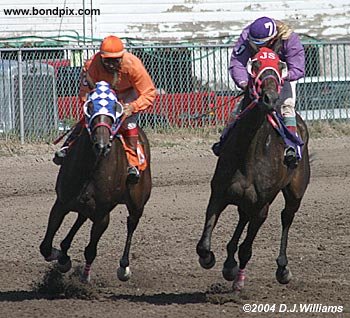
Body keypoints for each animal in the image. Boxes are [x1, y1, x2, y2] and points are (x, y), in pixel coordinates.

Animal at [40, 82, 152, 284]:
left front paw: (85, 276)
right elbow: (45, 246)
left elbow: (91, 250)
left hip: (137, 203)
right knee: (81, 218)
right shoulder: (61, 203)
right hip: (82, 203)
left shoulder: (102, 215)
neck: (91, 166)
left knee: (131, 223)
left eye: (115, 108)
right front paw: (61, 257)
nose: (101, 144)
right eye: (89, 106)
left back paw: (124, 267)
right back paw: (64, 250)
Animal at [196, 46, 310, 290]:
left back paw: (282, 268)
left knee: (286, 216)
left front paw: (237, 277)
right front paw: (212, 260)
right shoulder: (218, 194)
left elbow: (246, 249)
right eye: (255, 64)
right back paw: (229, 260)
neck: (248, 153)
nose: (270, 98)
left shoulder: (261, 207)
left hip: (295, 192)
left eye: (280, 65)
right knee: (242, 217)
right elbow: (204, 244)